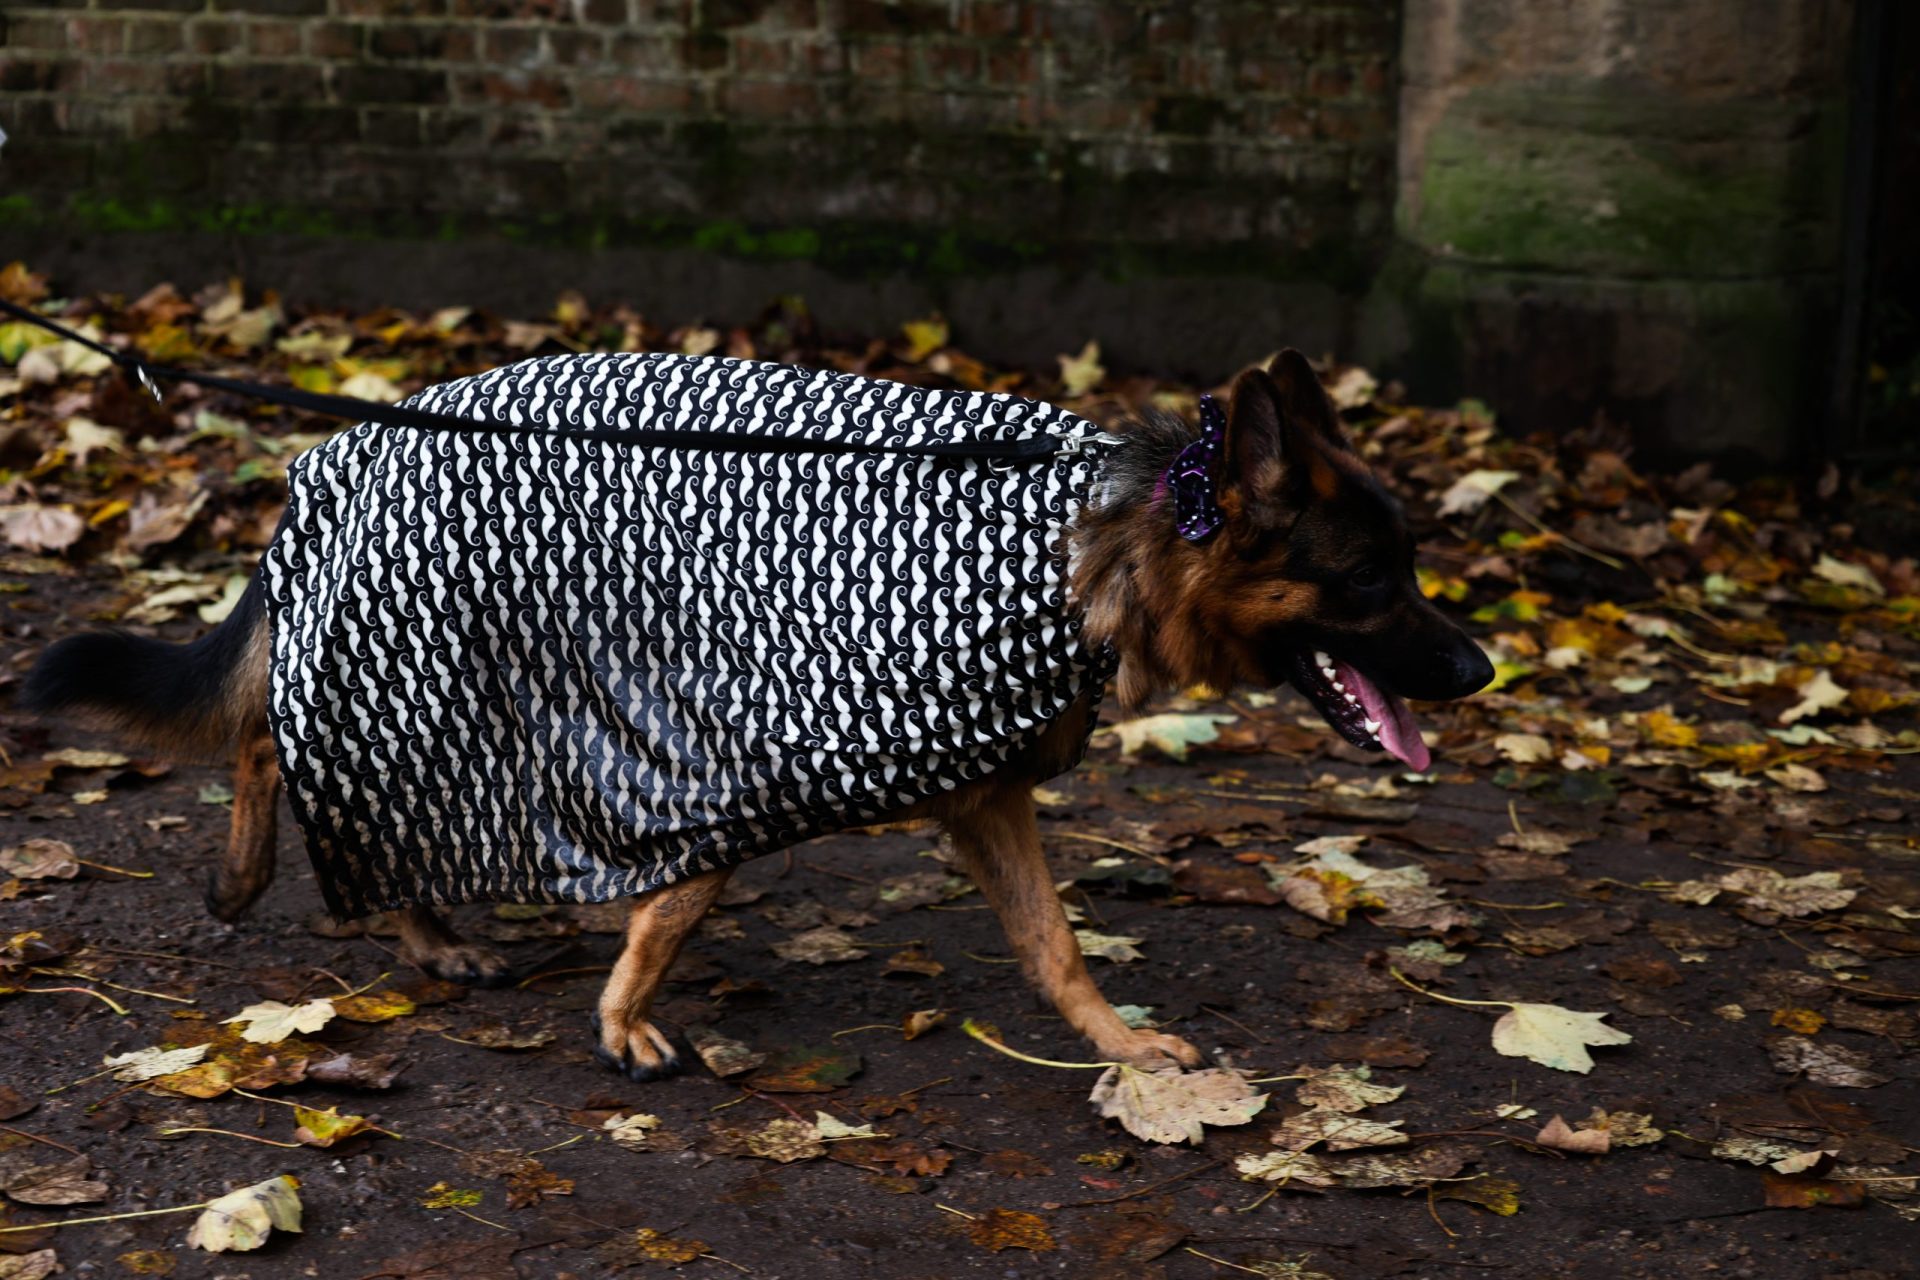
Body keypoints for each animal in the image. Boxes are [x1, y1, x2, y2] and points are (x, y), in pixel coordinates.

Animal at [22, 348, 1491, 1079]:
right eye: (1375, 581)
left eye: (1414, 562)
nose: (1483, 670)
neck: (1098, 537)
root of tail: (343, 444)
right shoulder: (759, 747)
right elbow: (682, 895)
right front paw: (625, 1014)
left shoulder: (986, 795)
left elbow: (1056, 946)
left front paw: (1119, 1045)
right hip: (428, 664)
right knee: (282, 740)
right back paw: (361, 911)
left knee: (296, 746)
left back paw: (383, 914)